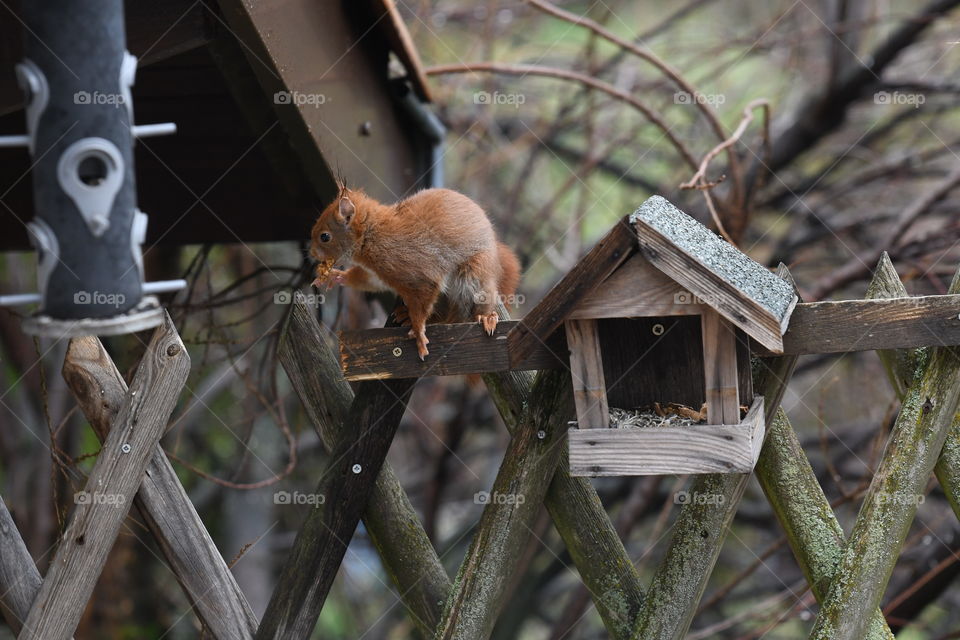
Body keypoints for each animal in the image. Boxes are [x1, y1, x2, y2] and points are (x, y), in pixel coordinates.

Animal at [310, 185, 520, 360]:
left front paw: (418, 332)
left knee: (473, 305)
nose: (311, 253)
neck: (372, 235)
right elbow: (369, 281)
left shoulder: (419, 274)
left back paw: (486, 317)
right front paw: (336, 276)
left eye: (325, 237)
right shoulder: (378, 273)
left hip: (473, 276)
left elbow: (421, 305)